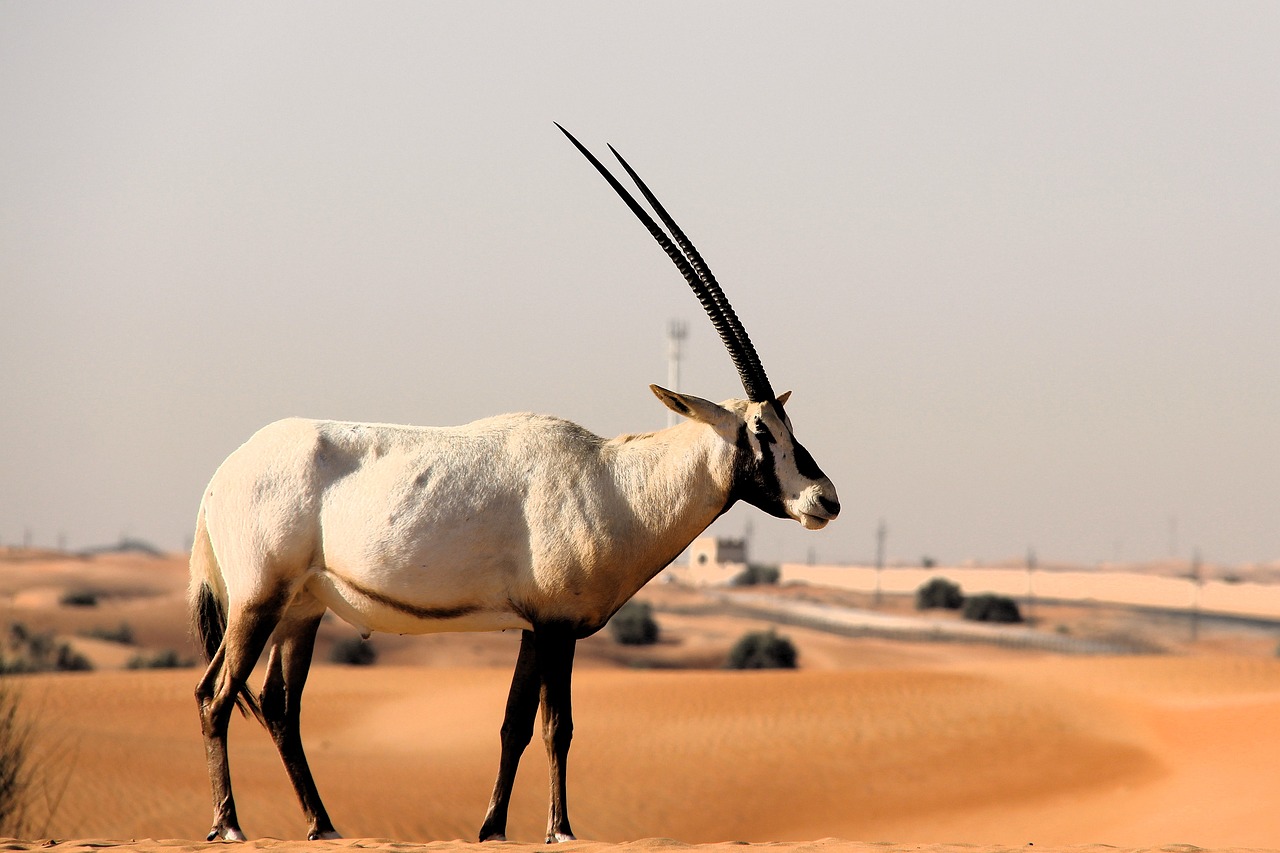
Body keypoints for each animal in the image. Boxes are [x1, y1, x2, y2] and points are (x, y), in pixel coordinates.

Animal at [189, 124, 840, 844]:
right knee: (216, 693)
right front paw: (561, 828)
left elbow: (513, 726)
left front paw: (493, 828)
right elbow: (559, 728)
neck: (614, 479)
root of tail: (220, 478)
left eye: (787, 424)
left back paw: (323, 826)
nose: (825, 498)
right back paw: (230, 826)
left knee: (280, 704)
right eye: (760, 430)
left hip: (301, 608)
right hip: (258, 599)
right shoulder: (557, 627)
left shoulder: (534, 626)